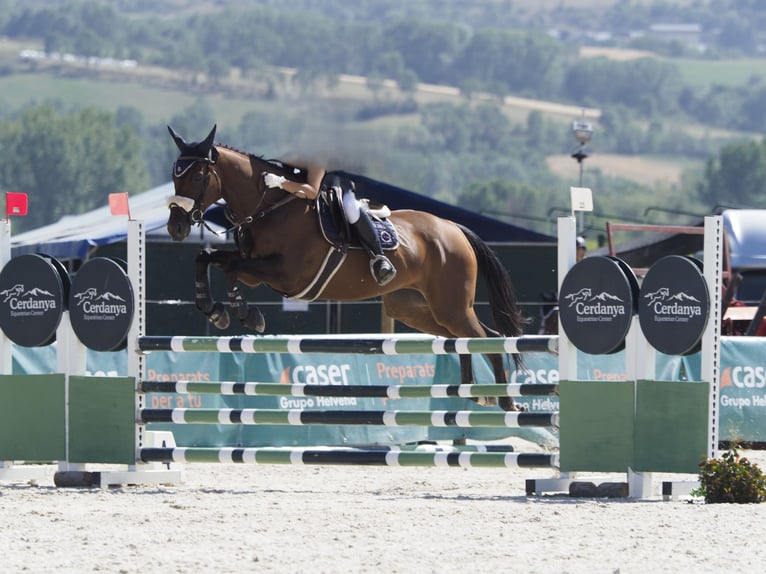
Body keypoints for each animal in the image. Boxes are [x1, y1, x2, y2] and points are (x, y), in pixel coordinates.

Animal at [166, 126, 528, 414]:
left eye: (197, 176)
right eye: (175, 175)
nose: (175, 227)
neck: (271, 207)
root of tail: (454, 228)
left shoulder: (285, 274)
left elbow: (229, 265)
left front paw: (241, 313)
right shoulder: (257, 272)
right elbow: (209, 258)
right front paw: (217, 310)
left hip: (450, 304)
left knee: (485, 338)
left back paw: (505, 401)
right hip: (417, 308)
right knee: (465, 338)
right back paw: (475, 393)